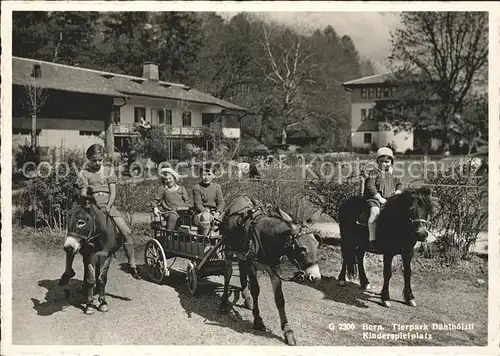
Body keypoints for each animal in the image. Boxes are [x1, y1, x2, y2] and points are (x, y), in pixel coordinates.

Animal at [219, 196, 320, 346]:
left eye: (317, 244)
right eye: (302, 249)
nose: (316, 277)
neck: (266, 236)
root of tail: (240, 198)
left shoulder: (274, 270)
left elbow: (280, 299)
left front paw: (288, 331)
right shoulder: (252, 266)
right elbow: (255, 290)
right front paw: (257, 320)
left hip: (243, 255)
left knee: (242, 272)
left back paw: (247, 299)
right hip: (228, 250)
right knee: (228, 274)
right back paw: (224, 303)